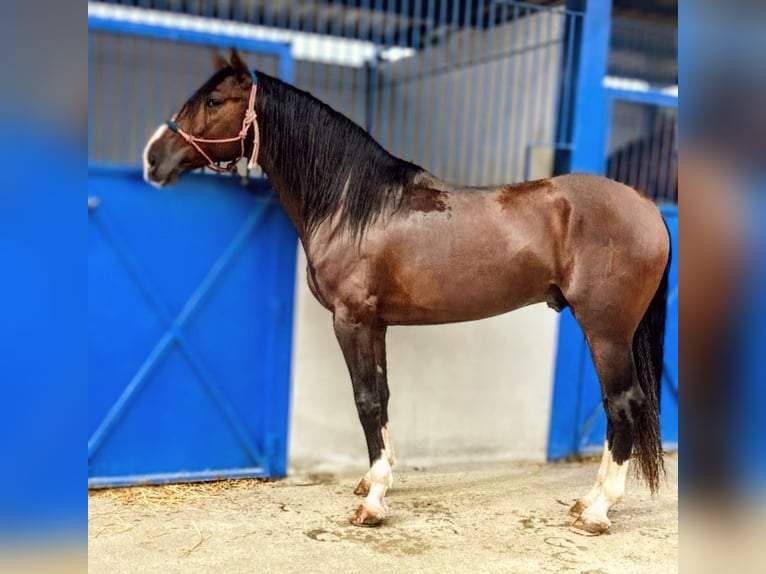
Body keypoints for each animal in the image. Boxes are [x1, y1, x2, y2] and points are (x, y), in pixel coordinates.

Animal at [143, 50, 671, 536]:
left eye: (213, 101)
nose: (151, 159)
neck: (354, 205)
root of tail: (647, 206)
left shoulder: (351, 319)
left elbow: (365, 400)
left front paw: (373, 502)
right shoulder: (375, 323)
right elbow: (383, 394)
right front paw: (378, 479)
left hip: (605, 329)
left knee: (624, 404)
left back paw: (598, 510)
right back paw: (586, 503)